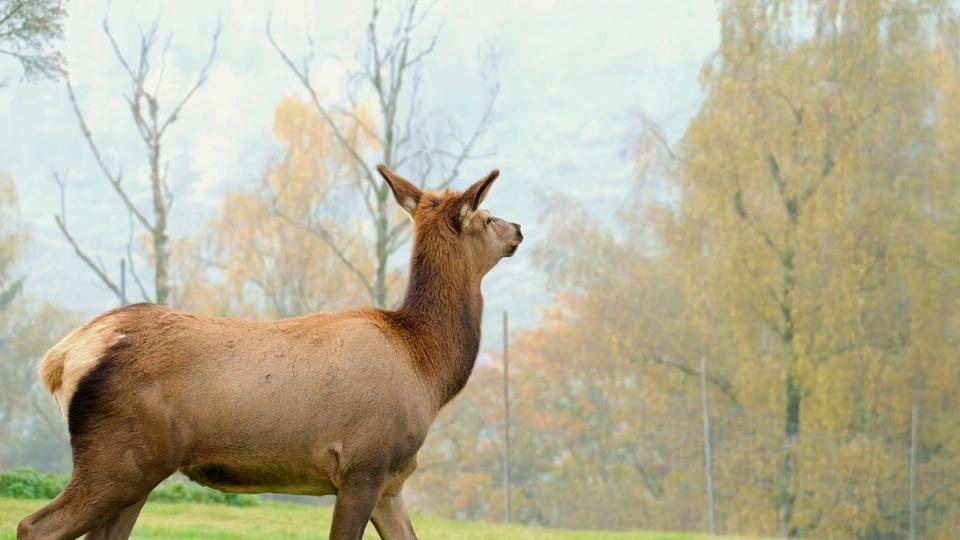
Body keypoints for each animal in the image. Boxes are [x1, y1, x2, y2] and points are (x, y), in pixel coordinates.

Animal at [16, 166, 524, 540]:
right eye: (487, 215)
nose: (518, 227)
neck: (428, 369)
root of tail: (61, 359)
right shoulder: (364, 462)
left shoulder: (393, 482)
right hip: (118, 457)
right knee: (34, 526)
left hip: (136, 467)